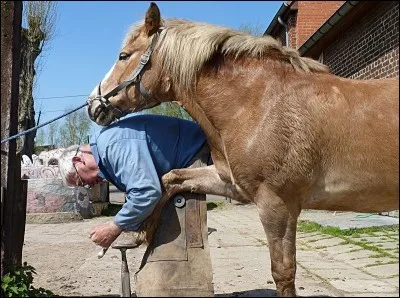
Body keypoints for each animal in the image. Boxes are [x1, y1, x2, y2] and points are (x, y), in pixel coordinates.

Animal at [86, 2, 398, 296]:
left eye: (123, 55)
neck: (260, 103)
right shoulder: (231, 183)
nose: (93, 105)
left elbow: (283, 273)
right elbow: (170, 179)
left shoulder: (277, 204)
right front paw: (138, 233)